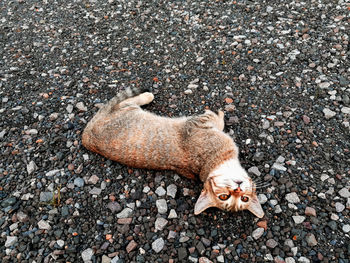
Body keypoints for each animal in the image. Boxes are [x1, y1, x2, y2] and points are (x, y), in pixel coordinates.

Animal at [81, 88, 262, 219]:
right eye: (224, 196)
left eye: (244, 199)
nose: (238, 190)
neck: (213, 163)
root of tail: (86, 137)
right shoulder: (197, 124)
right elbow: (214, 119)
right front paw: (219, 115)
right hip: (126, 111)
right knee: (126, 101)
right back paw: (147, 95)